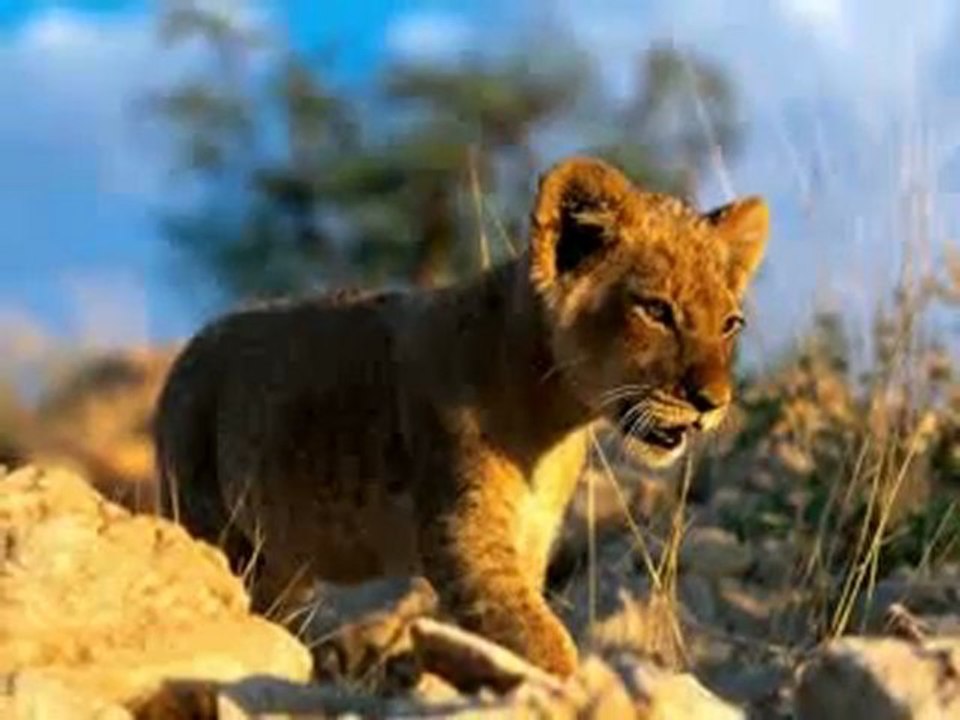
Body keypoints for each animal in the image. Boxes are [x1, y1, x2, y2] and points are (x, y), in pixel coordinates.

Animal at [154, 157, 769, 677]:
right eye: (656, 311)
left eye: (731, 324)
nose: (714, 402)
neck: (555, 418)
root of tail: (192, 346)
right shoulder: (462, 531)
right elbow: (535, 636)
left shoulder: (530, 537)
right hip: (215, 522)